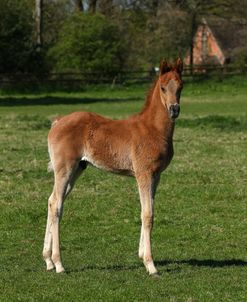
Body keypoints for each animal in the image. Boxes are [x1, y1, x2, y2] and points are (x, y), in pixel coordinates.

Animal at [43, 57, 183, 274]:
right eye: (162, 87)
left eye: (181, 86)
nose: (174, 110)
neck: (153, 129)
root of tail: (57, 122)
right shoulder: (144, 174)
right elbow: (147, 214)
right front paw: (150, 265)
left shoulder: (156, 176)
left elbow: (147, 210)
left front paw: (142, 256)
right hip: (65, 168)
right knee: (56, 204)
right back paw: (58, 264)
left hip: (77, 169)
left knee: (53, 201)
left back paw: (48, 260)